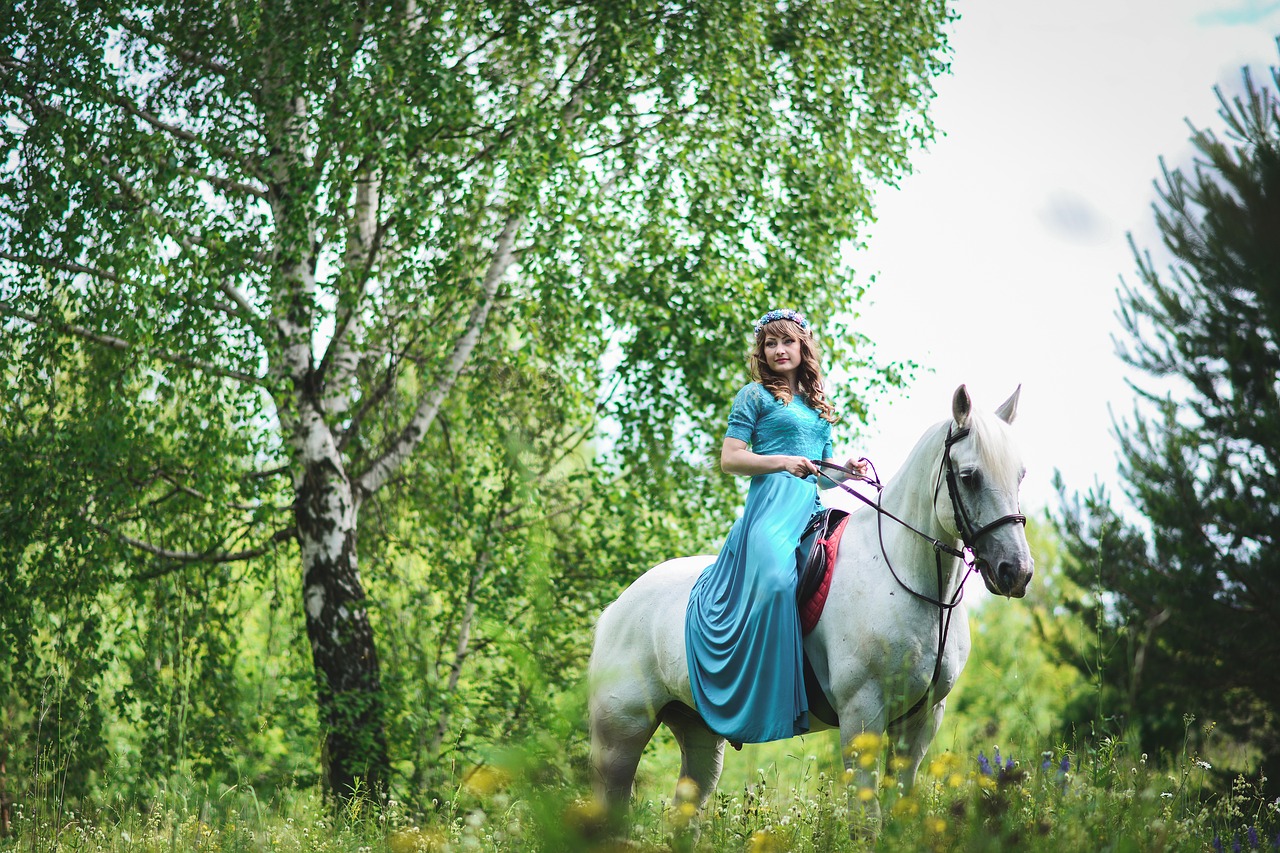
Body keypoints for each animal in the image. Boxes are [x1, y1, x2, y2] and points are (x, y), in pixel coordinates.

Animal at [586, 384, 1034, 824]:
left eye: (1020, 475)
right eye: (969, 477)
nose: (1017, 571)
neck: (910, 581)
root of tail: (616, 609)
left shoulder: (921, 720)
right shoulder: (862, 714)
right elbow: (866, 820)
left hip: (699, 734)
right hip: (620, 737)